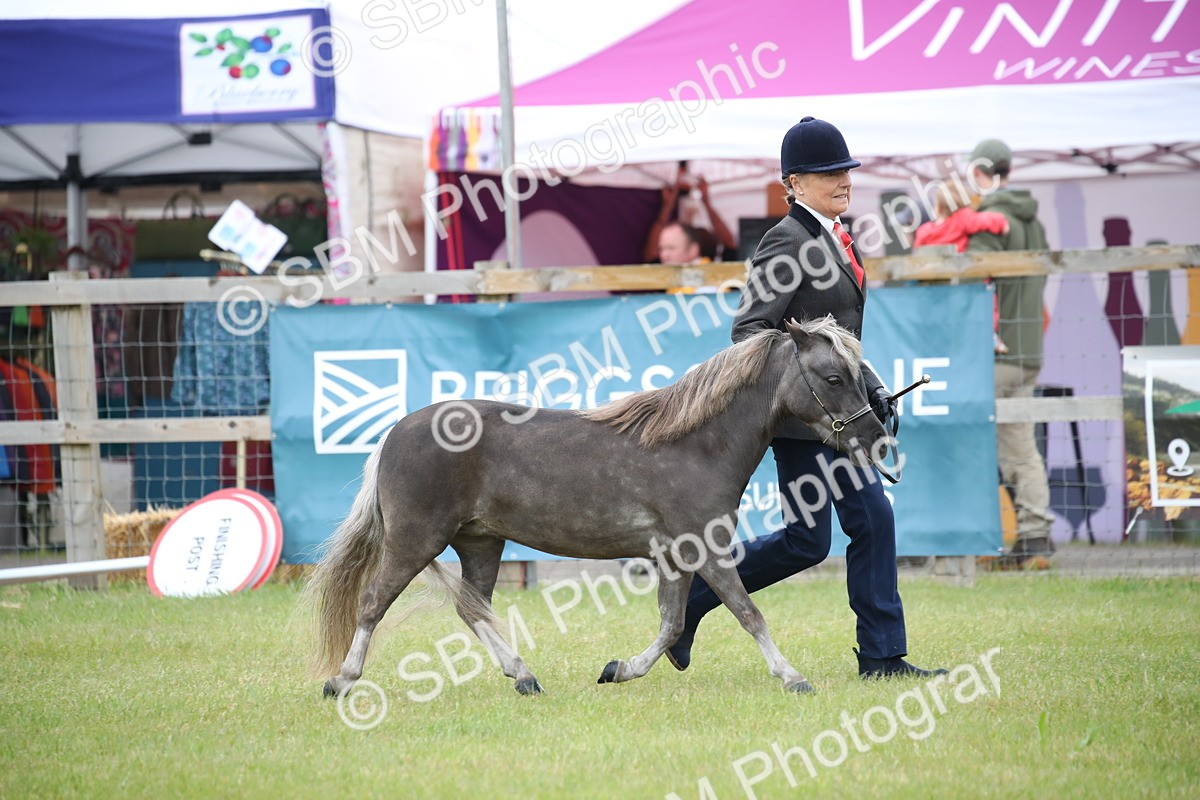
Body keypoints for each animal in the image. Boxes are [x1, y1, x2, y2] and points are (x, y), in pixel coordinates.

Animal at [307, 316, 889, 697]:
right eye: (834, 378)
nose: (877, 439)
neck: (695, 444)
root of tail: (393, 433)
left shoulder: (676, 557)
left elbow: (673, 623)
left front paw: (619, 670)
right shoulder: (706, 549)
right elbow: (748, 612)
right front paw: (793, 677)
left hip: (479, 542)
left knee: (472, 609)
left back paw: (524, 676)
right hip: (415, 540)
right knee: (373, 603)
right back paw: (342, 681)